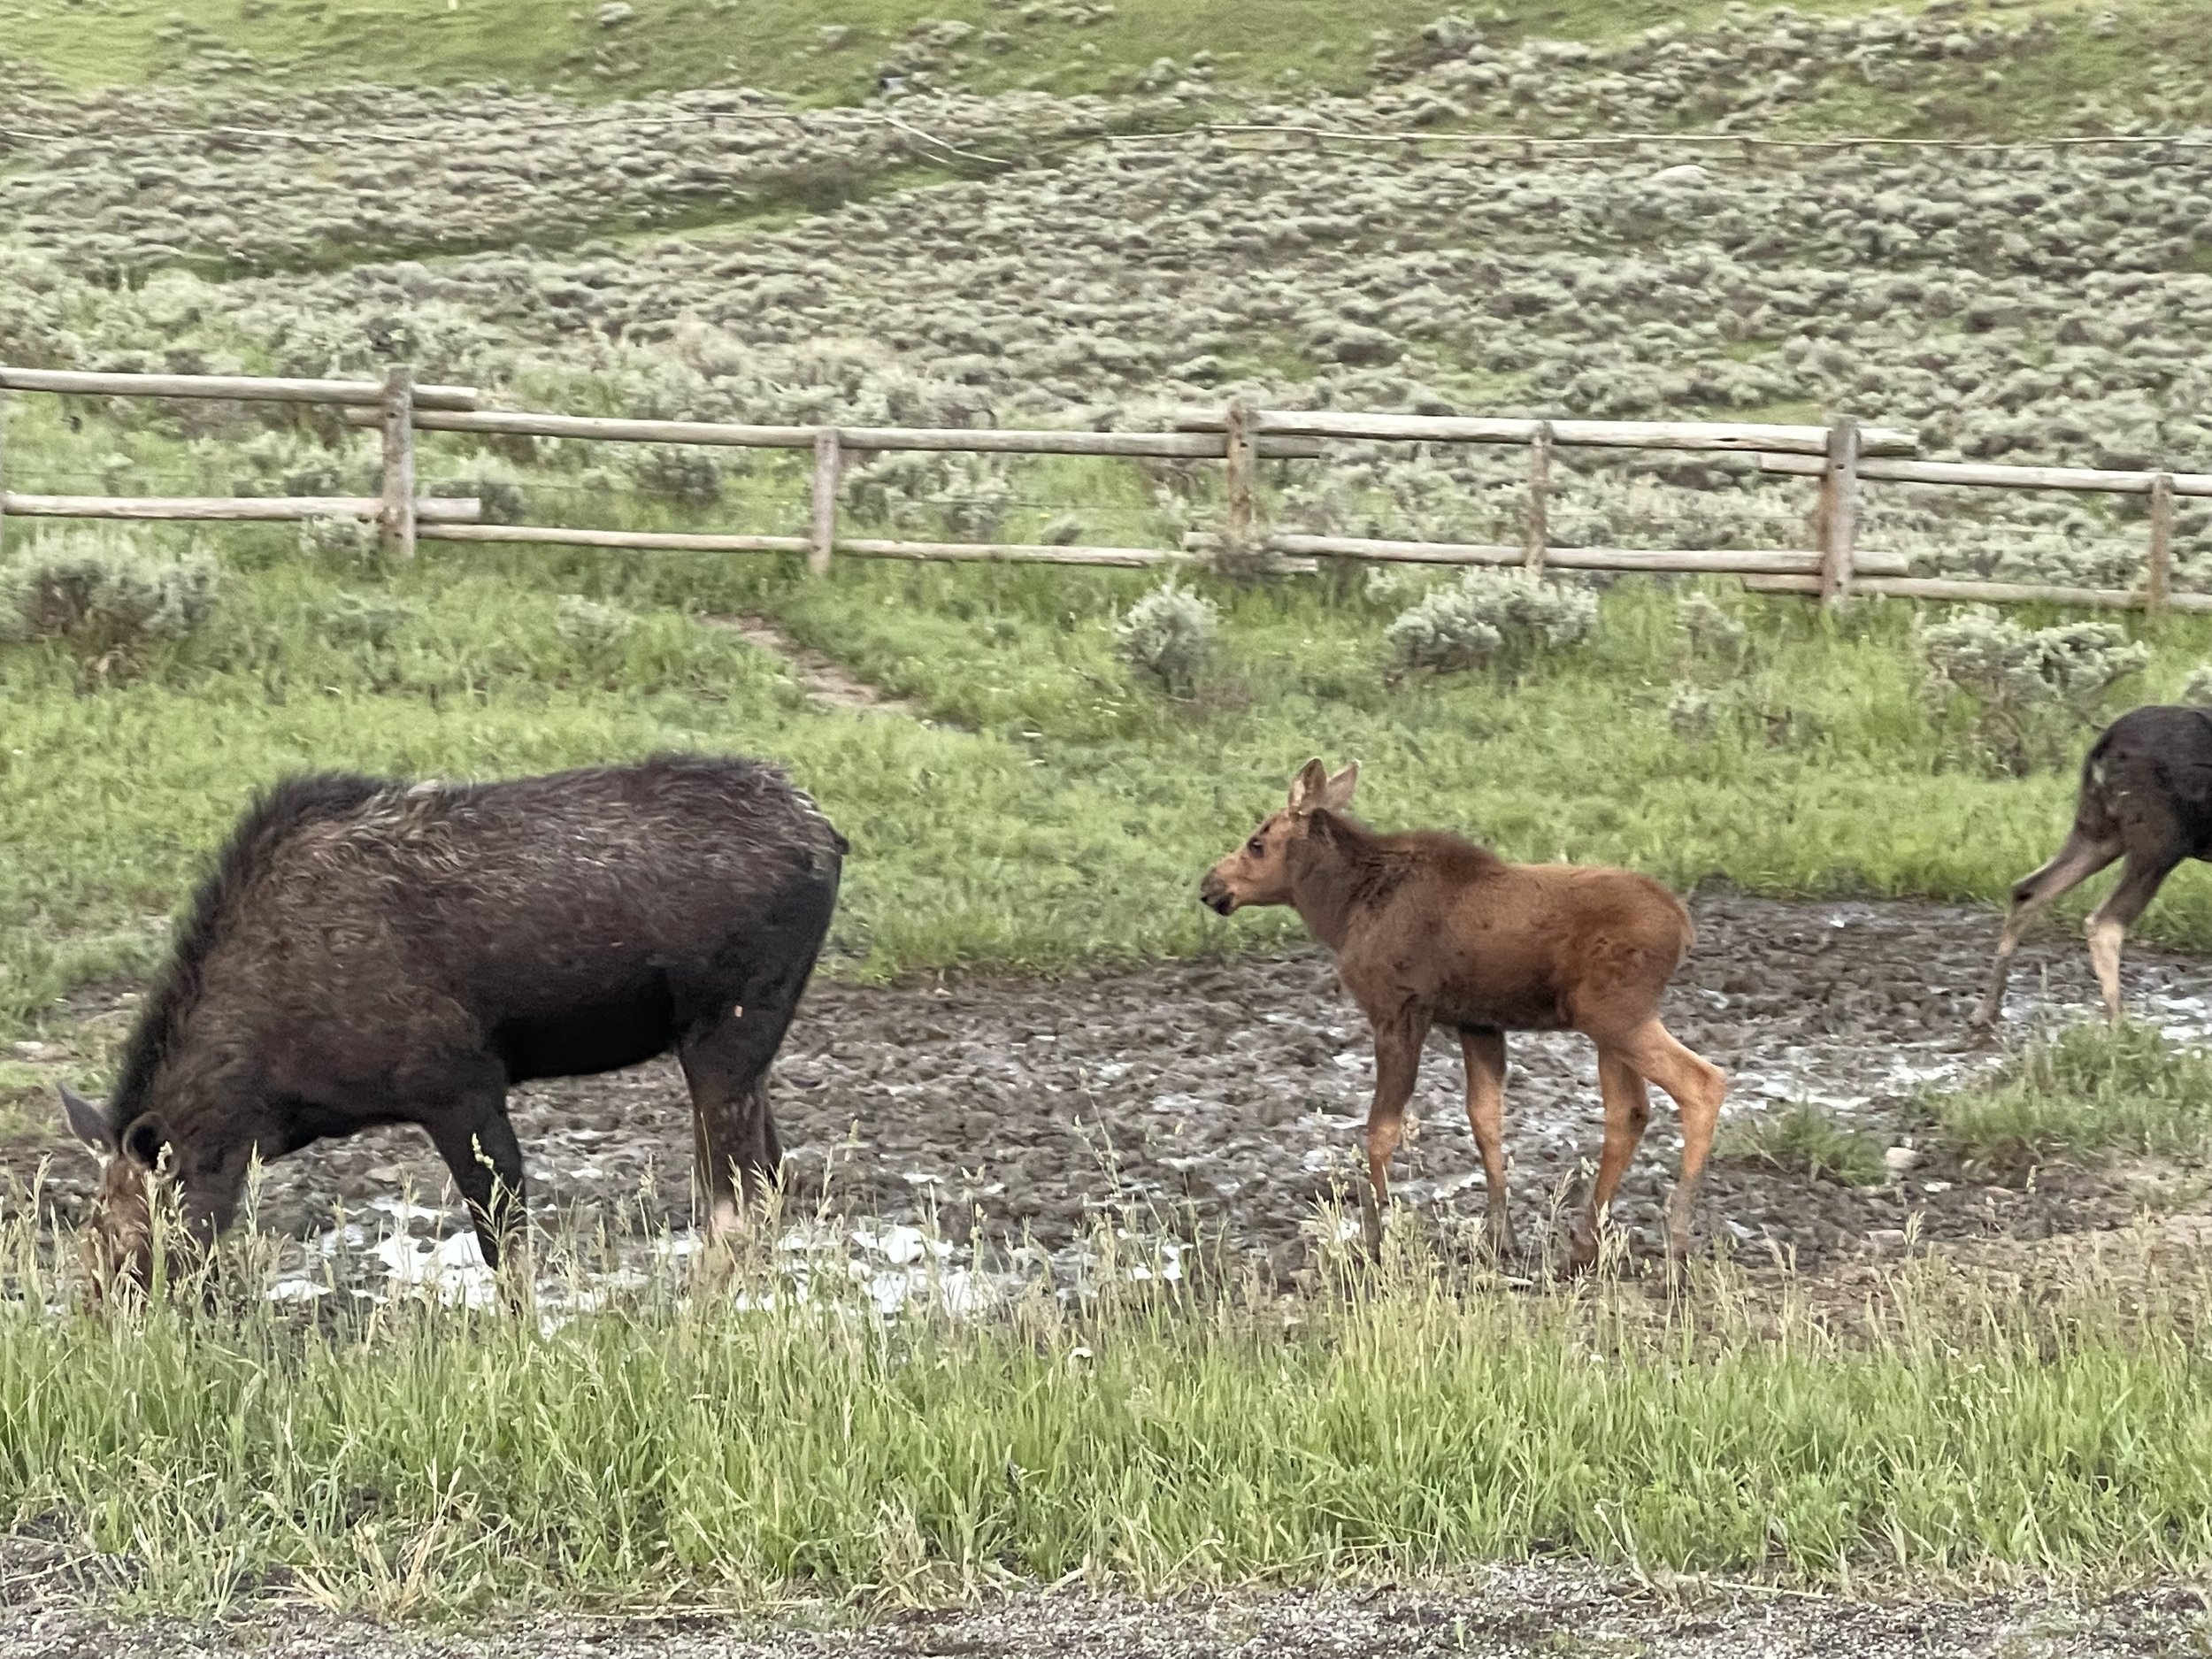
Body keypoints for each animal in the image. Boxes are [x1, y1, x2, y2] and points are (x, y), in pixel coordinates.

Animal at [1199, 759, 1727, 1272]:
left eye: (1257, 843)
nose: (1209, 886)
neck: (1342, 909)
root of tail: (1684, 925)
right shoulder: (1478, 1022)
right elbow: (1484, 1120)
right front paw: (1500, 1237)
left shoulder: (1399, 1009)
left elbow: (1381, 1130)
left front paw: (1376, 1242)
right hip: (1608, 1024)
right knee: (1628, 1112)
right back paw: (1584, 1247)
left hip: (1615, 1014)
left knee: (1703, 1083)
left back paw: (1676, 1242)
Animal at [1974, 704, 2212, 1035]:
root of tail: (2103, 745)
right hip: (2160, 843)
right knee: (2105, 922)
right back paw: (2121, 1029)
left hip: (2098, 832)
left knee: (2028, 890)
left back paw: (1987, 1011)